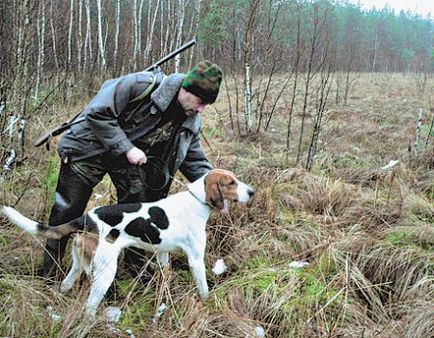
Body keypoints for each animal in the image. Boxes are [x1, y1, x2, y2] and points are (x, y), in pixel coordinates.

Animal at [1, 170, 254, 316]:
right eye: (230, 183)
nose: (252, 192)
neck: (197, 200)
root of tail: (86, 218)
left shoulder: (163, 254)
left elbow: (165, 276)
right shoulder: (195, 259)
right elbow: (203, 288)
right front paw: (208, 303)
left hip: (78, 263)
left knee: (66, 284)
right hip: (105, 271)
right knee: (89, 307)